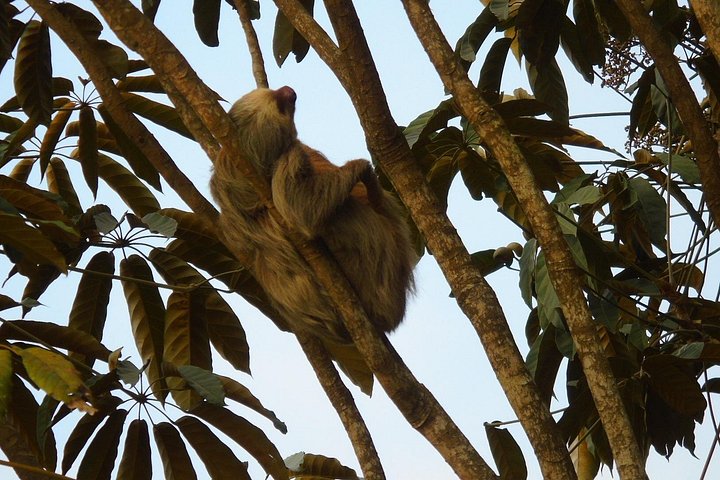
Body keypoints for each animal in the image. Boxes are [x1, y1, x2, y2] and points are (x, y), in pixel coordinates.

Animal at [210, 86, 416, 344]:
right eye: (280, 107)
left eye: (272, 92)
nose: (288, 91)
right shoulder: (293, 155)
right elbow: (303, 212)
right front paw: (361, 168)